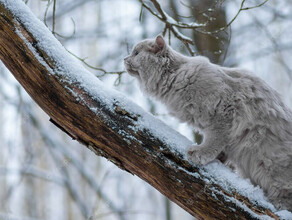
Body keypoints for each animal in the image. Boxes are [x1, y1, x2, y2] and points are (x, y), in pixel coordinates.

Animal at [124, 34, 292, 211]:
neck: (176, 77)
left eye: (136, 53)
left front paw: (200, 153)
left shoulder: (225, 110)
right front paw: (220, 157)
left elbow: (215, 139)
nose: (124, 59)